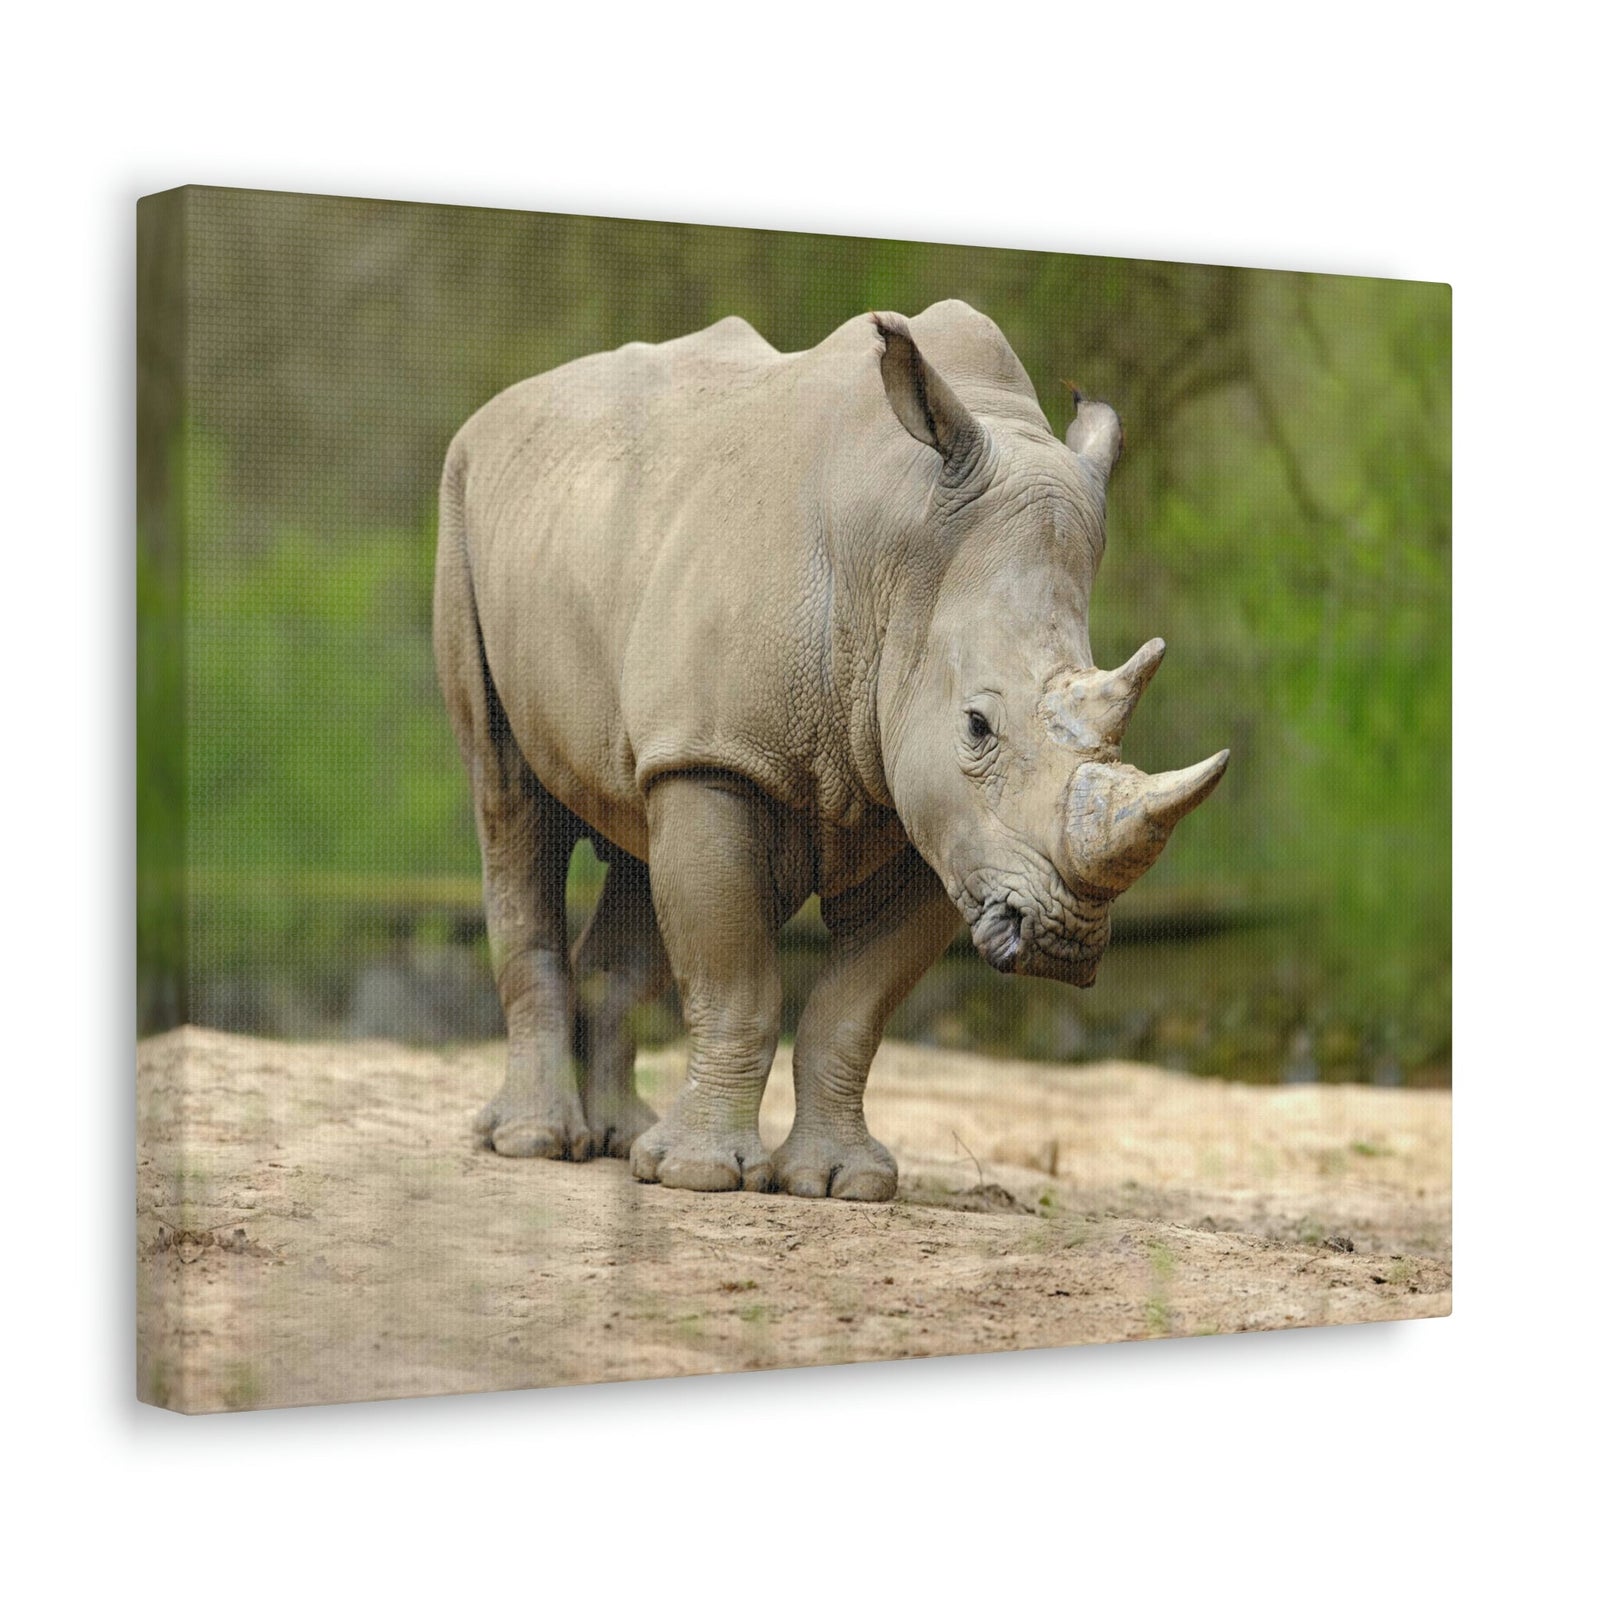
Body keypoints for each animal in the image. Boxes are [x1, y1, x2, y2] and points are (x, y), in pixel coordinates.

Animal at [433, 300, 1227, 1200]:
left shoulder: (944, 823)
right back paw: (535, 1142)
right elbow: (736, 980)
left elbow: (853, 1009)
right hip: (466, 502)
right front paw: (699, 1177)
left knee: (636, 826)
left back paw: (619, 1139)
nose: (1061, 941)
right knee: (508, 800)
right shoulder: (723, 755)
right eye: (977, 727)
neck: (903, 560)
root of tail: (507, 406)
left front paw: (840, 1183)